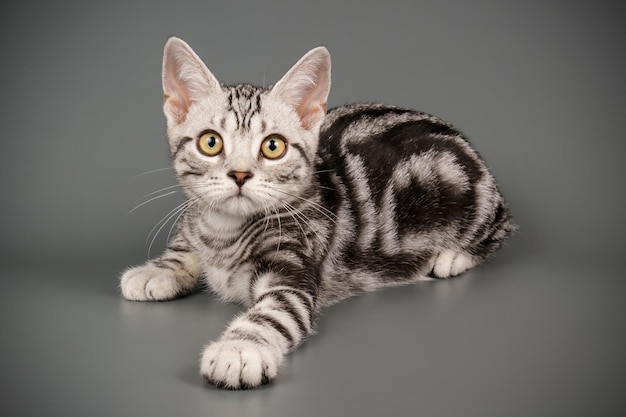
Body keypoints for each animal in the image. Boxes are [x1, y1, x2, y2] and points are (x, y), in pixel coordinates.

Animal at [118, 37, 512, 388]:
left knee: (501, 226)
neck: (224, 233)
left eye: (272, 147)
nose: (240, 174)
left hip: (472, 203)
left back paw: (453, 257)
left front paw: (240, 350)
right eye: (210, 142)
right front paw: (160, 269)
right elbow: (186, 240)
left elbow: (273, 314)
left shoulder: (293, 277)